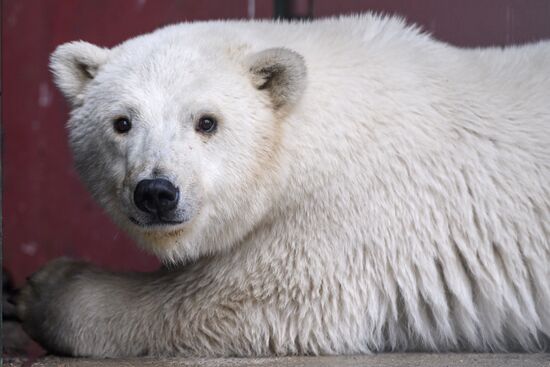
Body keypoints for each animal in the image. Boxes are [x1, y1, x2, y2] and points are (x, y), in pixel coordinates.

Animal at [15, 13, 548, 356]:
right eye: (122, 122)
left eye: (206, 121)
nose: (157, 192)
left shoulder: (345, 212)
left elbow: (244, 302)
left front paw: (44, 288)